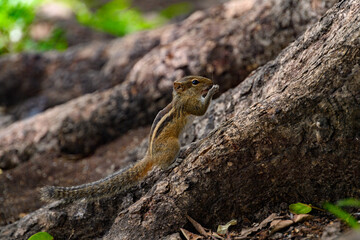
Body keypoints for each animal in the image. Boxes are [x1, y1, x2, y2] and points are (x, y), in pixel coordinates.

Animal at [40, 76, 218, 202]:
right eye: (195, 82)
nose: (210, 81)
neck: (180, 97)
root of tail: (150, 156)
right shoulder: (190, 105)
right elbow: (201, 110)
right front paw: (213, 90)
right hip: (173, 144)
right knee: (161, 166)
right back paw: (172, 163)